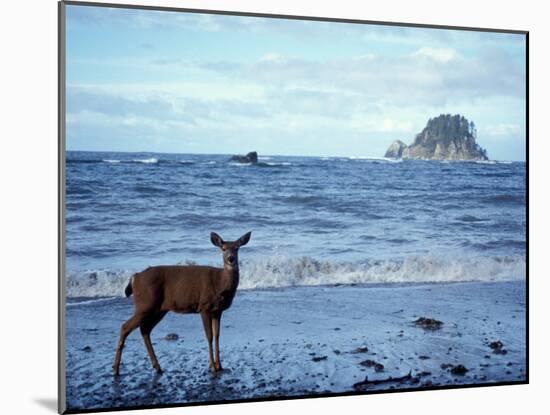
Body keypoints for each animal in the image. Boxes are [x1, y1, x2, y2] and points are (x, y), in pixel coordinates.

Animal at [114, 231, 252, 376]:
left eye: (237, 247)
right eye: (223, 248)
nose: (231, 259)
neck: (220, 283)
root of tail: (135, 277)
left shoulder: (217, 310)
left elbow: (217, 336)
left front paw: (220, 366)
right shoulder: (204, 306)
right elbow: (209, 336)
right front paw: (213, 367)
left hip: (158, 309)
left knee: (145, 330)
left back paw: (157, 367)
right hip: (144, 304)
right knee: (125, 327)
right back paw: (116, 369)